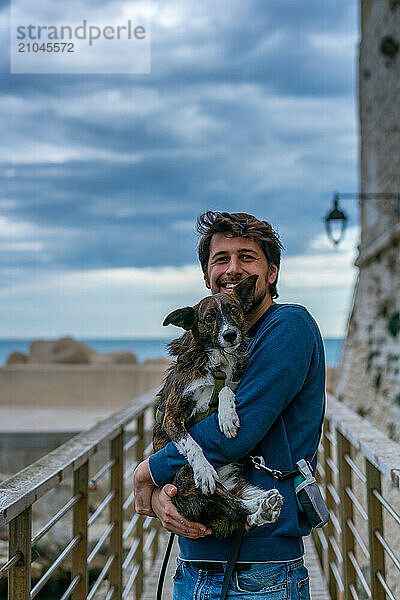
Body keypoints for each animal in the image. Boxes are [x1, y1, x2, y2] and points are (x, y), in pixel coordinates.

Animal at [152, 276, 282, 540]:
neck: (216, 361)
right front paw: (204, 469)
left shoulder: (234, 383)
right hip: (185, 476)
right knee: (232, 505)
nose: (230, 335)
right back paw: (262, 504)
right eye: (210, 317)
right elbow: (191, 444)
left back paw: (265, 507)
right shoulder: (171, 415)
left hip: (235, 481)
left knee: (237, 511)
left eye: (234, 310)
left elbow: (226, 390)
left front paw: (227, 417)